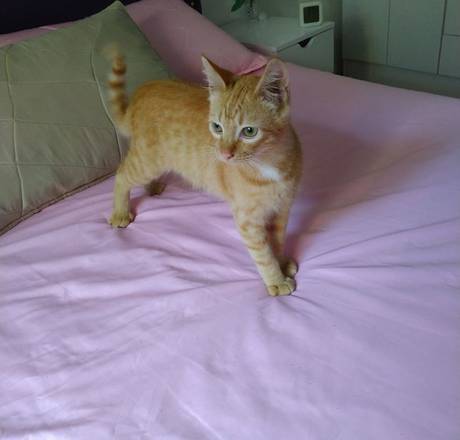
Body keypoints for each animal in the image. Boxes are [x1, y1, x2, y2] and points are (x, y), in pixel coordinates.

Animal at [107, 54, 302, 296]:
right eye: (217, 127)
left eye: (249, 131)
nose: (225, 154)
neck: (270, 163)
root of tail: (143, 89)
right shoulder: (248, 219)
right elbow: (263, 253)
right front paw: (276, 280)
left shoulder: (283, 207)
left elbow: (278, 240)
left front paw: (282, 262)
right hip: (147, 161)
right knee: (122, 174)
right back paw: (120, 212)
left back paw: (153, 187)